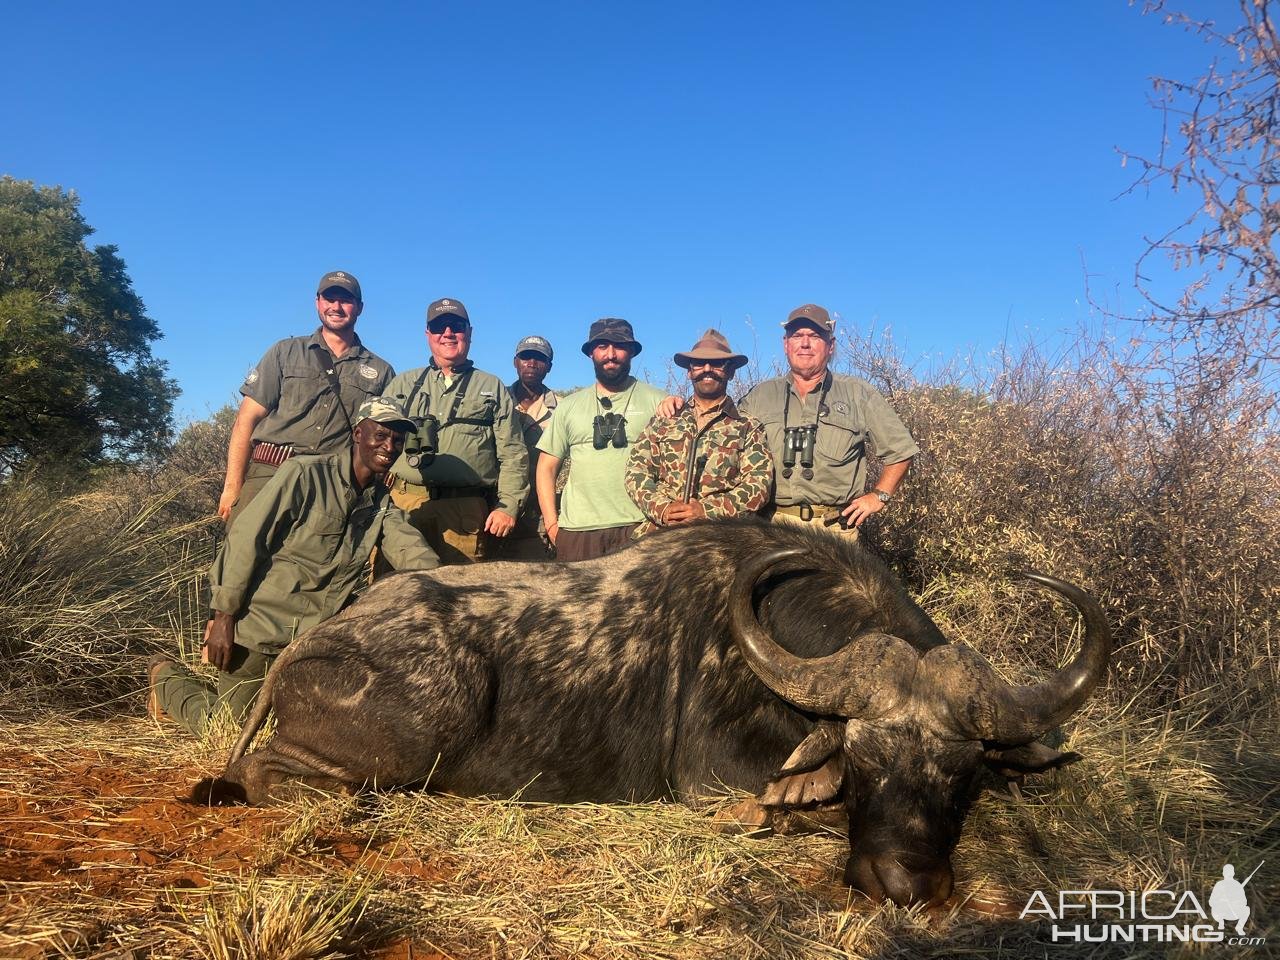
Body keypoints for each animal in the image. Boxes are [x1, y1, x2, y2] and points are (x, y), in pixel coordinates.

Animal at [194, 514, 1105, 906]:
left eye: (963, 775)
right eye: (863, 760)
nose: (904, 886)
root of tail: (307, 649)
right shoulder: (715, 780)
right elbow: (780, 811)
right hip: (407, 742)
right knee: (268, 774)